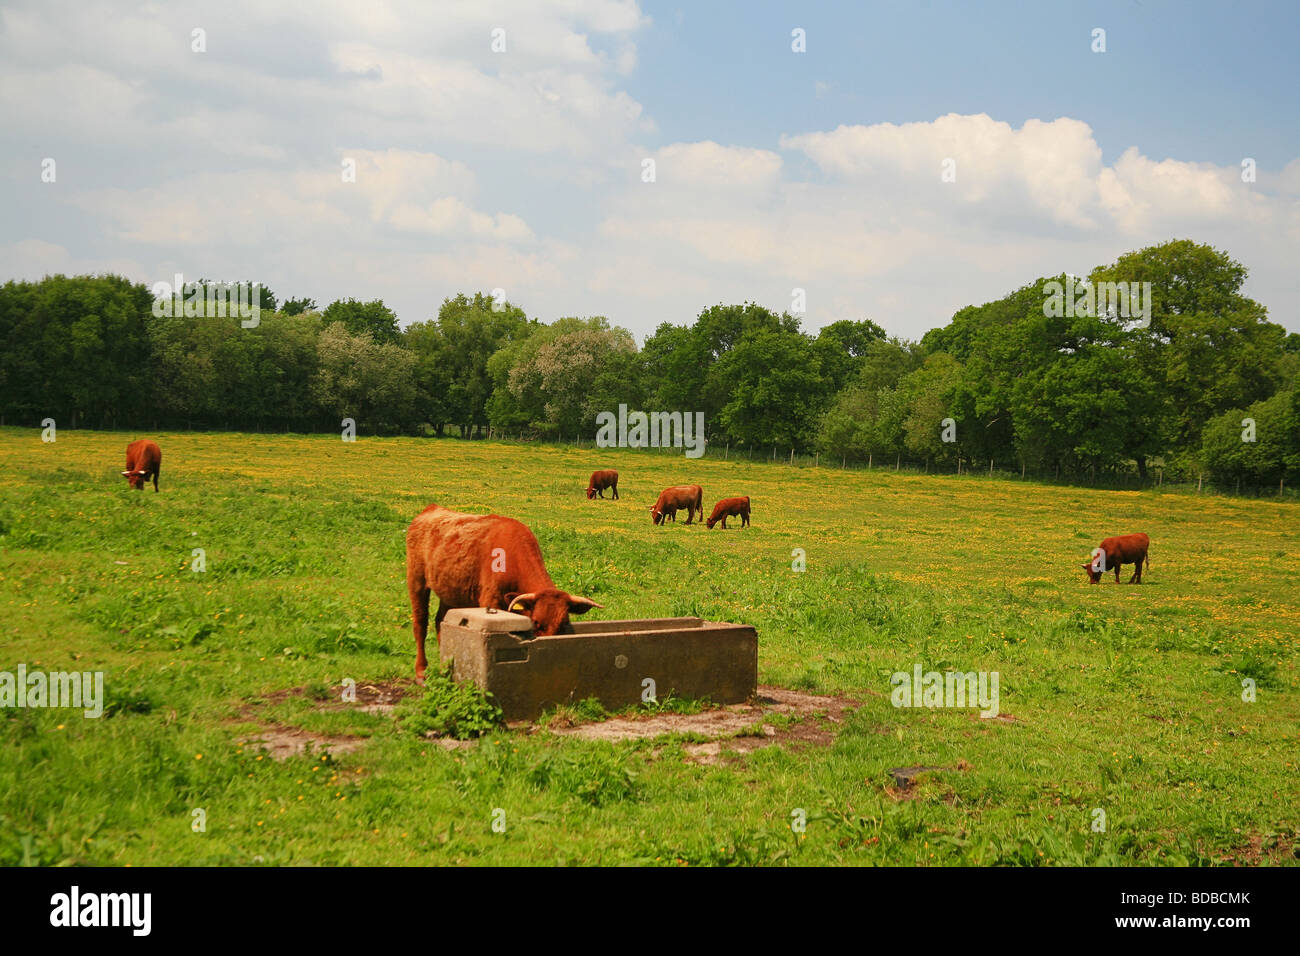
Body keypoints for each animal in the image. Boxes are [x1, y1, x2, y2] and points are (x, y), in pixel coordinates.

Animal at [403, 504, 600, 686]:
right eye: (536, 622)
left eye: (564, 623)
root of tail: (431, 509)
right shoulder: (490, 600)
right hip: (416, 578)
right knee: (420, 623)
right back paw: (421, 672)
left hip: (451, 589)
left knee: (440, 621)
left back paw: (445, 666)